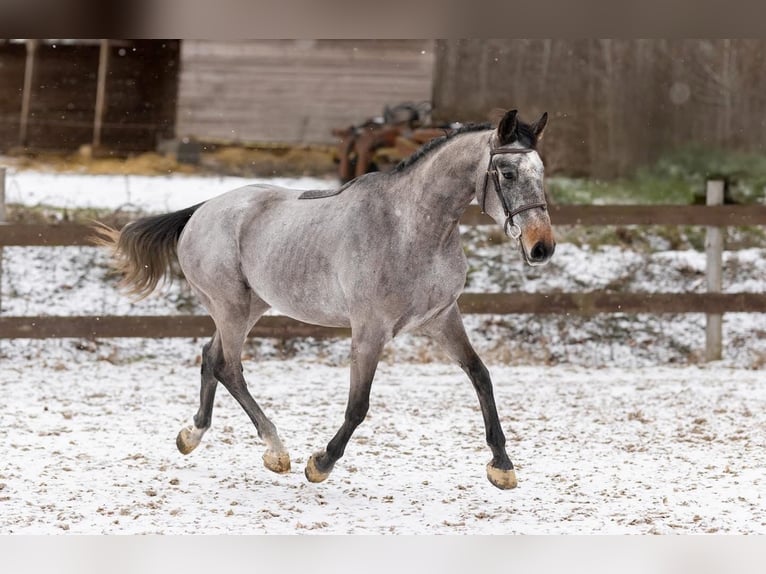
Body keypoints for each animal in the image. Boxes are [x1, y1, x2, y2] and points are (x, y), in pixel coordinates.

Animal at [94, 109, 554, 490]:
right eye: (507, 173)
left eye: (541, 172)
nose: (541, 248)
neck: (413, 229)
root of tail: (204, 208)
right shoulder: (369, 331)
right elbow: (358, 405)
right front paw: (320, 463)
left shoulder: (441, 318)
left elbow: (480, 376)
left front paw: (502, 465)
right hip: (230, 306)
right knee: (229, 366)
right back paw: (276, 451)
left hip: (250, 307)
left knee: (211, 356)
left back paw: (192, 435)